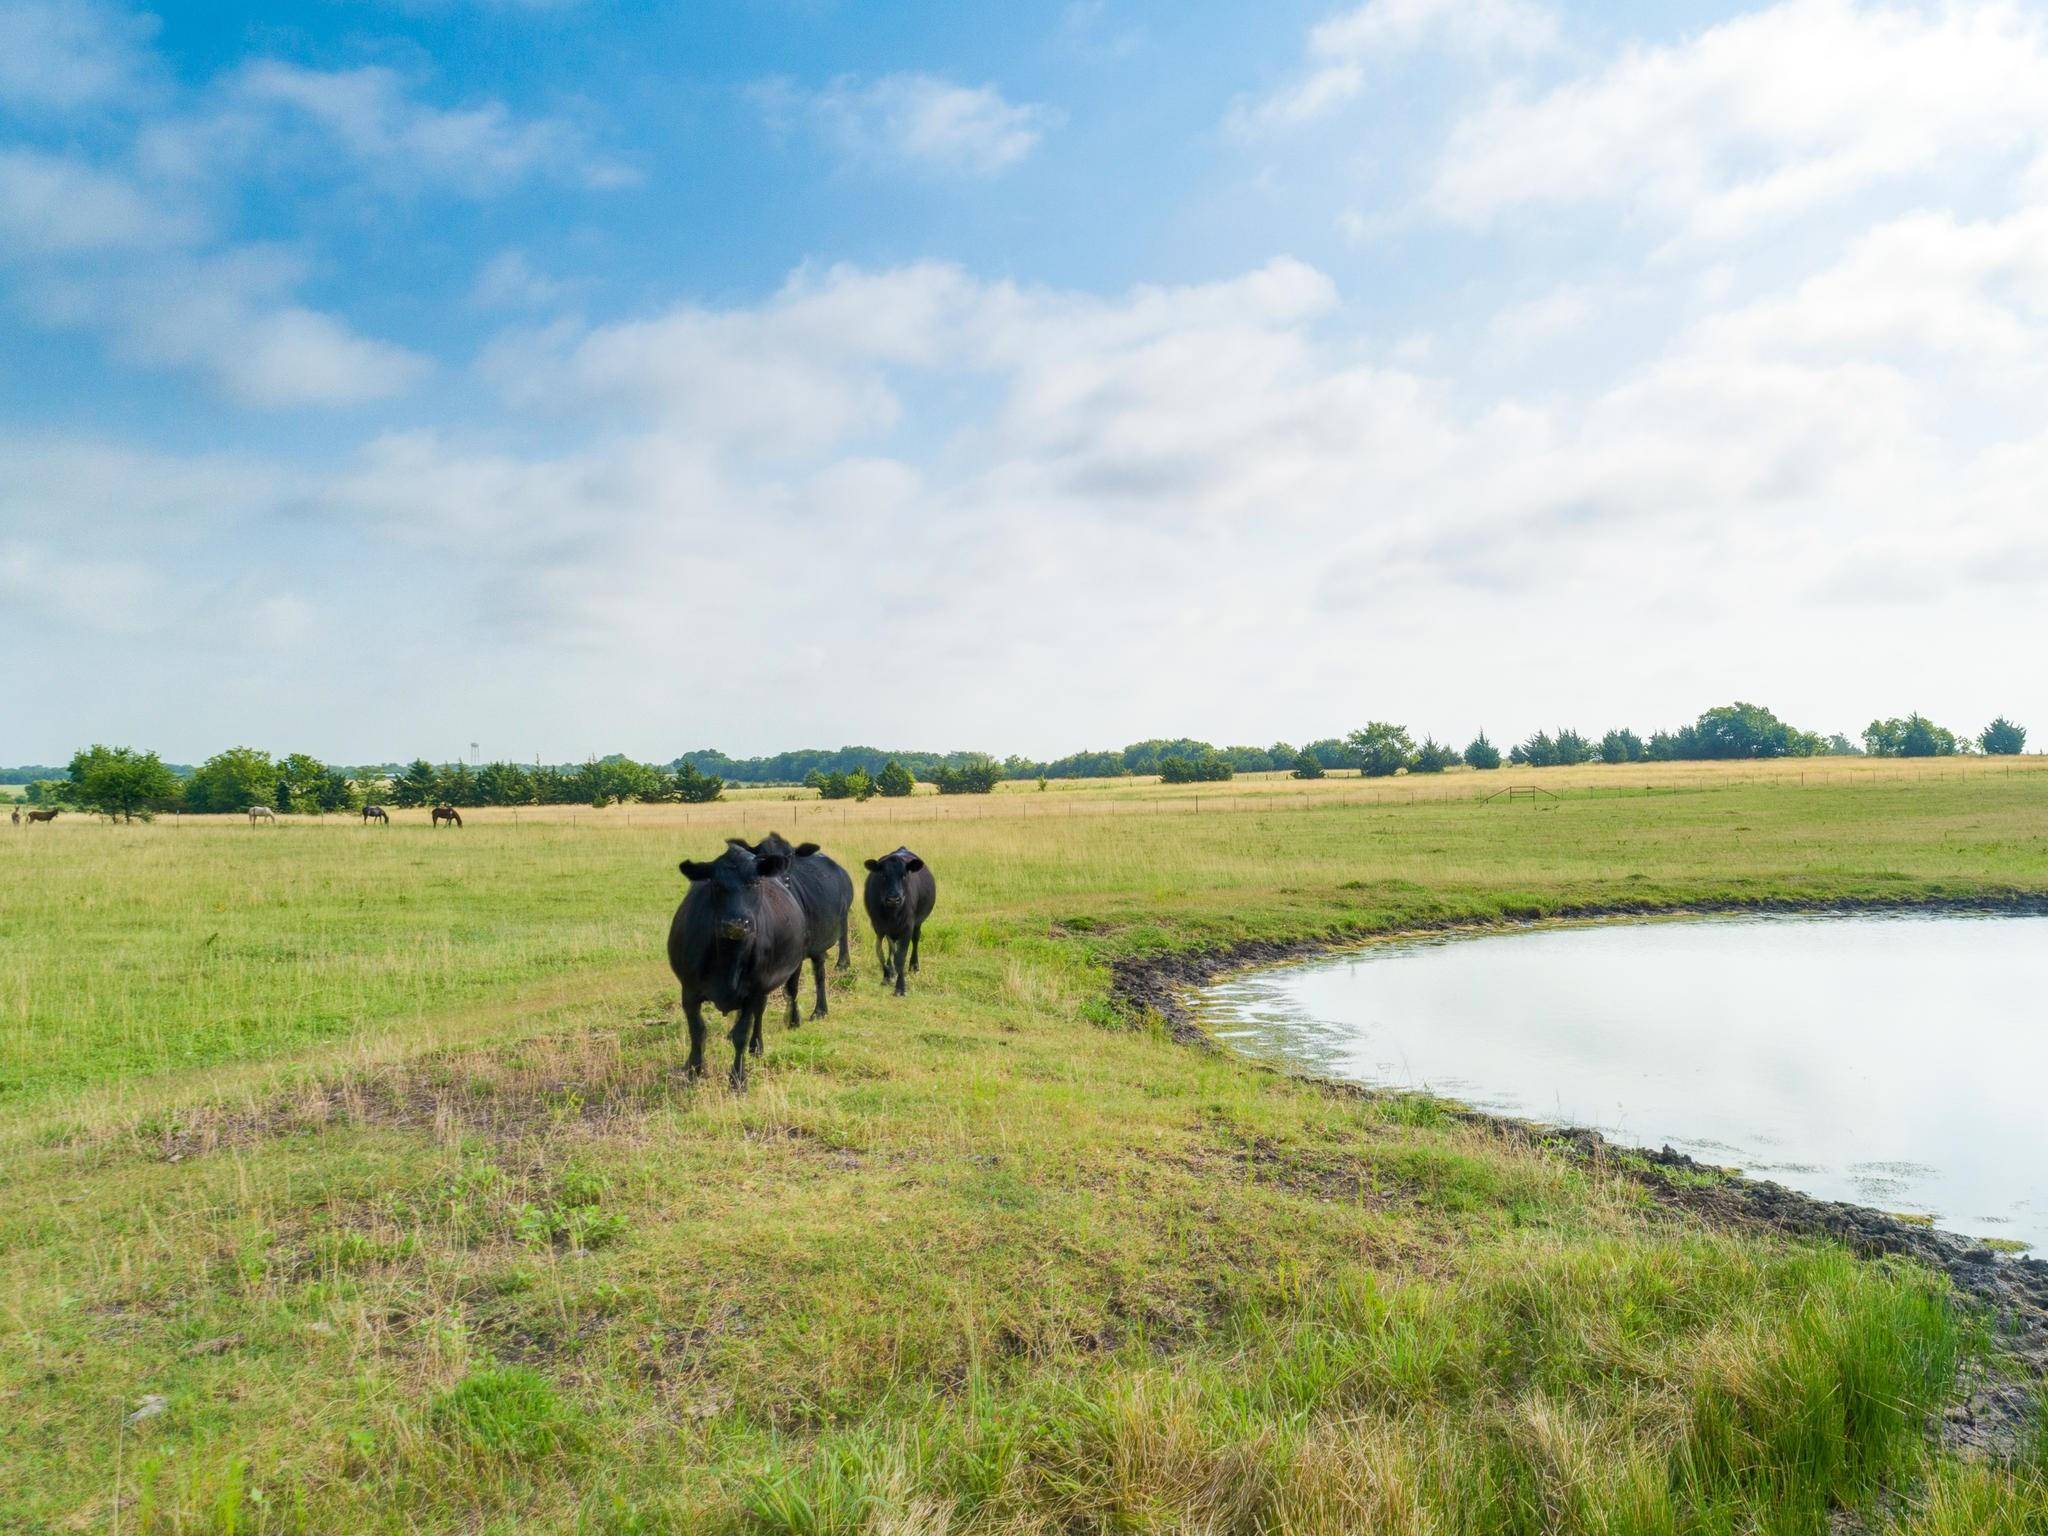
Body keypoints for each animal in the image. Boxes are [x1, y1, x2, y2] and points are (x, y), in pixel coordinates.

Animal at [667, 847, 802, 1089]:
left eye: (755, 882)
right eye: (716, 884)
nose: (736, 924)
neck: (729, 960)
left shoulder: (753, 991)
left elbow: (742, 1034)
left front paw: (738, 1079)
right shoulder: (689, 991)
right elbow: (697, 1031)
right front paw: (693, 1071)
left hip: (791, 970)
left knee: (778, 1001)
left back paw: (760, 1044)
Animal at [733, 835, 851, 1028]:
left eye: (790, 858)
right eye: (762, 858)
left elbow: (791, 988)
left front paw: (794, 1020)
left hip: (841, 919)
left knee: (833, 954)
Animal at [860, 856, 933, 999]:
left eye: (904, 875)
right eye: (883, 875)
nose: (893, 899)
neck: (892, 914)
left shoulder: (907, 929)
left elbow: (900, 958)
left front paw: (900, 988)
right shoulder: (879, 928)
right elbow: (881, 953)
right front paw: (887, 976)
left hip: (918, 923)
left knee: (915, 940)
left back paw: (914, 966)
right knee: (892, 947)